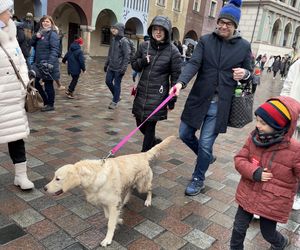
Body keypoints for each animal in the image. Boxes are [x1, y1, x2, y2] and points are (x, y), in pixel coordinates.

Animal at [44, 135, 176, 246]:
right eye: (54, 177)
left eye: (57, 179)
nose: (44, 188)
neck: (94, 176)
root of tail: (142, 154)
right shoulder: (104, 202)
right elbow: (108, 217)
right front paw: (119, 220)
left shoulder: (112, 203)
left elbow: (110, 223)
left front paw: (108, 239)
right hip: (130, 182)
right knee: (130, 190)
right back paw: (125, 201)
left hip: (142, 184)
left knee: (150, 189)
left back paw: (148, 201)